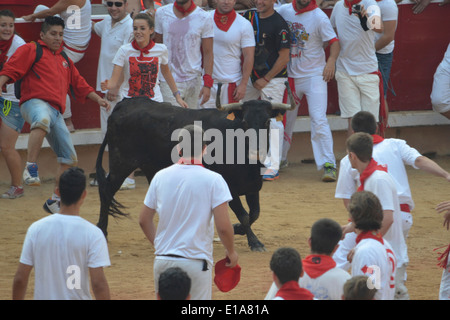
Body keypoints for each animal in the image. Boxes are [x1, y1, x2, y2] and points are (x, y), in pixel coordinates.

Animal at [96, 81, 296, 251]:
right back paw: (102, 231)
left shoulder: (253, 186)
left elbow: (255, 213)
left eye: (267, 122)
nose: (256, 151)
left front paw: (237, 228)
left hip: (147, 166)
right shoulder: (229, 188)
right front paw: (254, 242)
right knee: (106, 191)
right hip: (121, 163)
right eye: (245, 122)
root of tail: (125, 104)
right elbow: (245, 216)